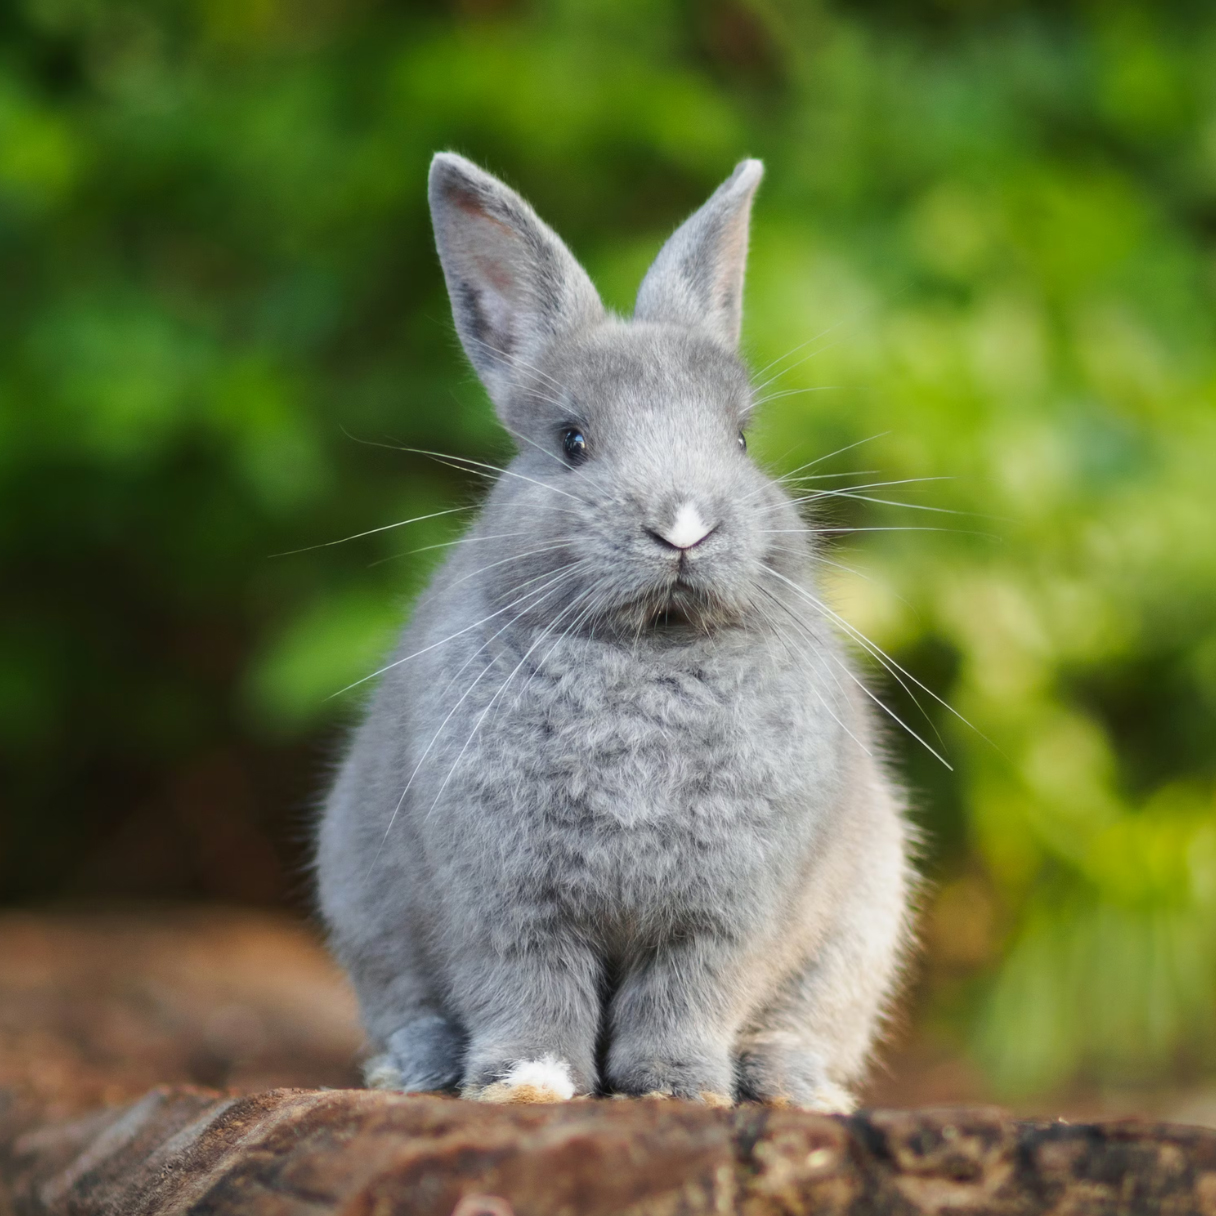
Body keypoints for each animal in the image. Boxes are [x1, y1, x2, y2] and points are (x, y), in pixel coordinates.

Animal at [315, 152, 914, 1112]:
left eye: (741, 440)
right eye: (572, 442)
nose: (683, 525)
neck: (650, 650)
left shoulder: (724, 917)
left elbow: (686, 997)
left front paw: (678, 1090)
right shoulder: (505, 906)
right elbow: (528, 993)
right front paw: (527, 1085)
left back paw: (795, 1088)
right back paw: (411, 1071)